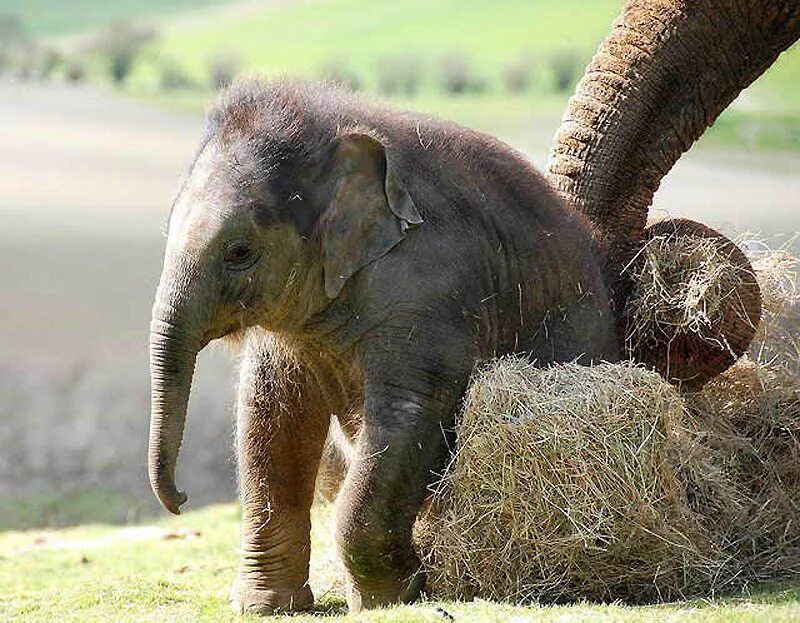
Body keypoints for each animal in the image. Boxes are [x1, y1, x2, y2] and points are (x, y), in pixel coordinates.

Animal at [147, 79, 616, 616]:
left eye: (240, 252)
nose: (180, 499)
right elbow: (271, 418)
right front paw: (267, 608)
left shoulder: (429, 289)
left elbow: (404, 416)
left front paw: (394, 598)